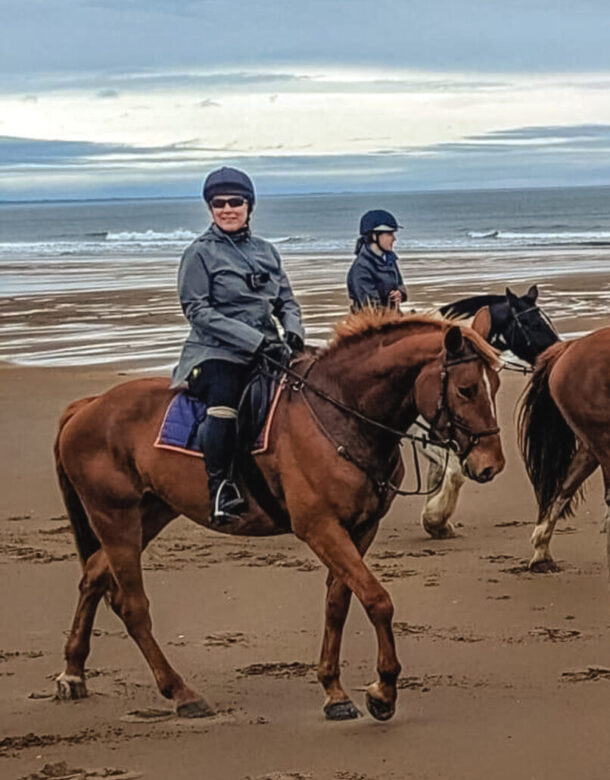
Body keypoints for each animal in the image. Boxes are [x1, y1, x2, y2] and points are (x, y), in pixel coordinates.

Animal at [53, 311, 504, 722]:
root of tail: (88, 406)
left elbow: (339, 602)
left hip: (148, 514)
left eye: (495, 385)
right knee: (132, 606)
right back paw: (181, 693)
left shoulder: (361, 529)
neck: (342, 415)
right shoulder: (320, 528)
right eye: (466, 389)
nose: (491, 465)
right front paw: (384, 691)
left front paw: (334, 691)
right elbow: (377, 599)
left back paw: (73, 673)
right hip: (116, 519)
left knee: (93, 576)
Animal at [414, 285, 559, 539]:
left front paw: (436, 522)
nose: (559, 349)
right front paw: (435, 518)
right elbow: (453, 473)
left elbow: (441, 474)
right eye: (533, 324)